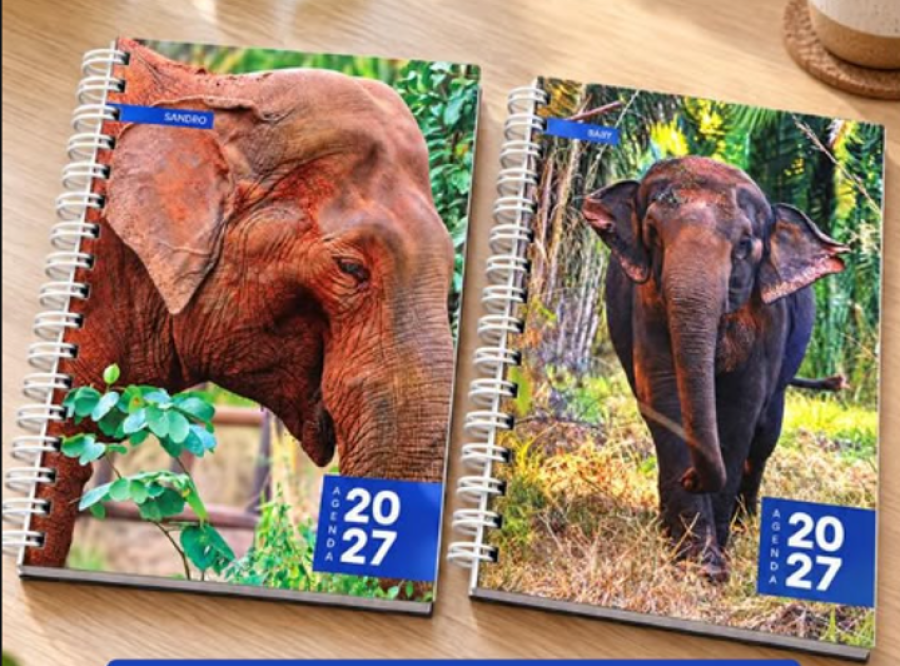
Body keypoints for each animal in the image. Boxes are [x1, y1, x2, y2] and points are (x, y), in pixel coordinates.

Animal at [582, 156, 847, 578]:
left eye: (744, 244)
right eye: (652, 231)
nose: (691, 478)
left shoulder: (767, 319)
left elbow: (741, 410)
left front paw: (716, 556)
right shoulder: (647, 301)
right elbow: (662, 394)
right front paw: (698, 562)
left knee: (765, 435)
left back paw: (745, 524)